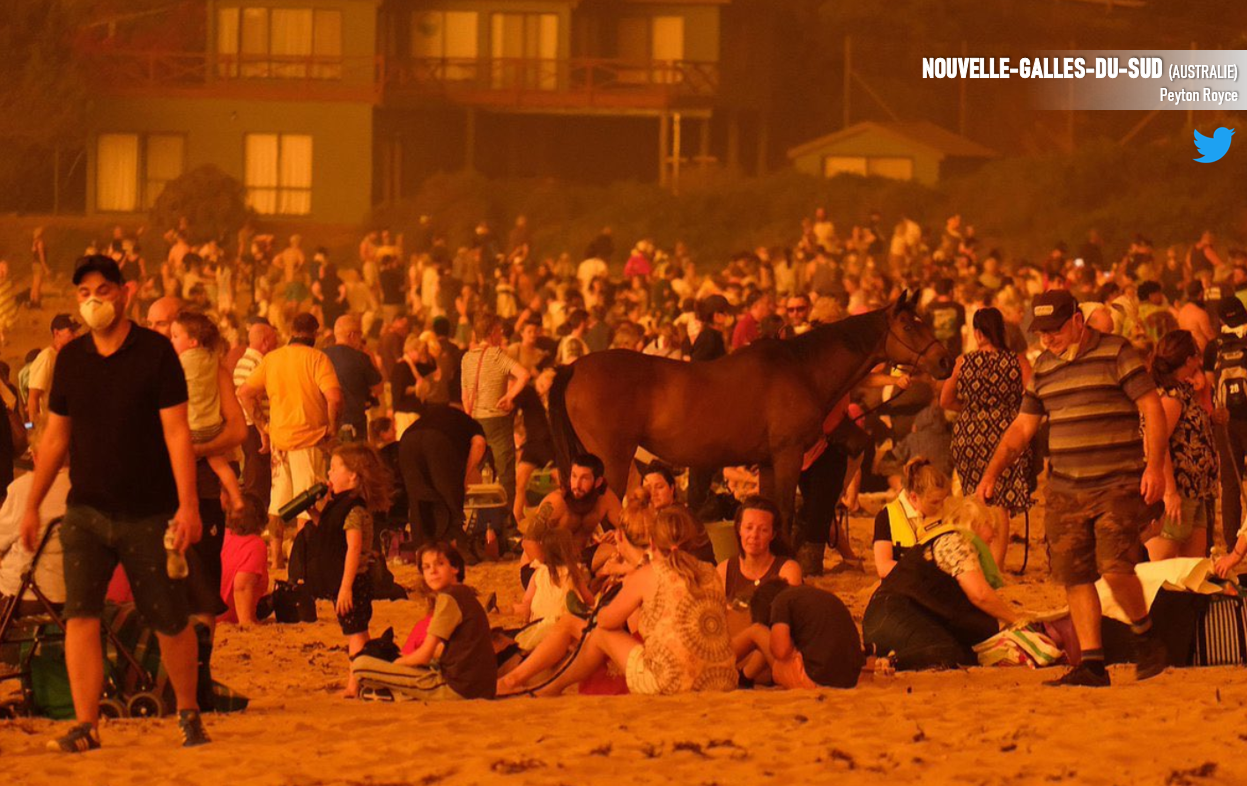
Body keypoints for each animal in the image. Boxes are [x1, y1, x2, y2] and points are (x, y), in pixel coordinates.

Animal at [551, 294, 947, 536]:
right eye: (909, 325)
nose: (943, 361)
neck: (801, 368)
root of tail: (574, 367)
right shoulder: (788, 455)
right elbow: (784, 512)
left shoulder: (768, 462)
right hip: (612, 462)